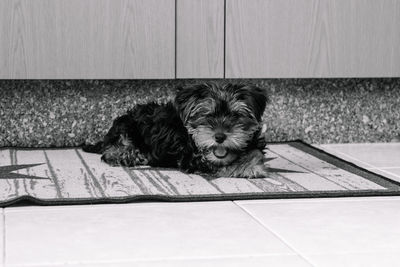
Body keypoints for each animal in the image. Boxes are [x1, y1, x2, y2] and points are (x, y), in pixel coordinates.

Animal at [81, 82, 268, 179]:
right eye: (207, 115)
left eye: (236, 116)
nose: (220, 136)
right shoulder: (192, 158)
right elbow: (222, 165)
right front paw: (251, 168)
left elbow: (256, 152)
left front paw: (254, 161)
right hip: (126, 127)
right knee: (111, 151)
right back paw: (130, 155)